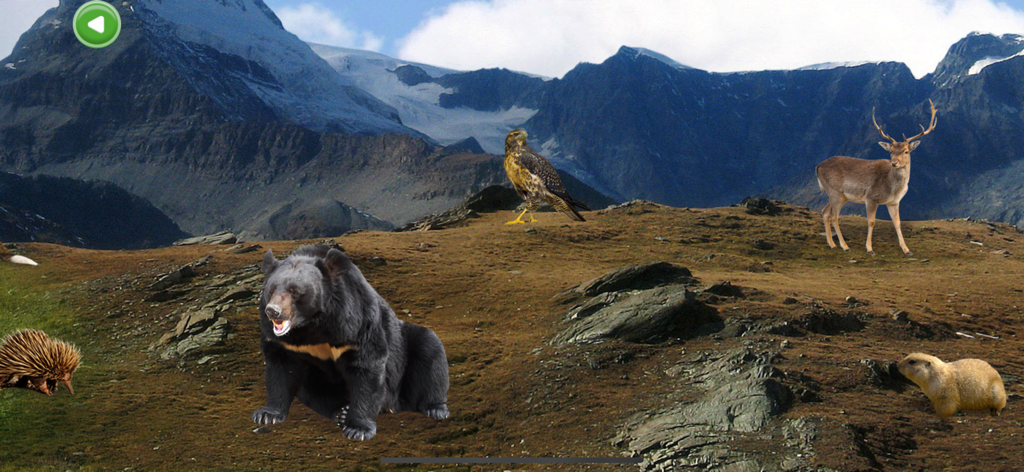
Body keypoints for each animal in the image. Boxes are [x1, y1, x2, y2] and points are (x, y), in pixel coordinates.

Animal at [251, 244, 450, 441]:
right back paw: (341, 412)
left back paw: (435, 408)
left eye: (295, 291)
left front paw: (358, 429)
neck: (311, 325)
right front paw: (266, 415)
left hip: (408, 349)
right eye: (270, 290)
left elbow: (367, 366)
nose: (273, 311)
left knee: (430, 355)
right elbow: (280, 369)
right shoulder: (283, 342)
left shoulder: (354, 323)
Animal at [815, 99, 936, 256]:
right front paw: (869, 249)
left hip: (837, 195)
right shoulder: (871, 198)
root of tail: (817, 167)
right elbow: (871, 221)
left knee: (825, 212)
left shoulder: (894, 202)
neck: (892, 188)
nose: (894, 163)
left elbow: (897, 222)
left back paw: (832, 244)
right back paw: (844, 246)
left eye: (906, 151)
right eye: (891, 151)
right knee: (834, 215)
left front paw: (907, 250)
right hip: (835, 192)